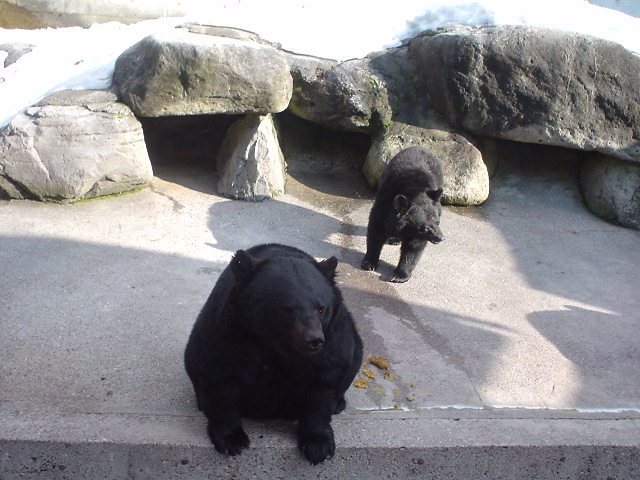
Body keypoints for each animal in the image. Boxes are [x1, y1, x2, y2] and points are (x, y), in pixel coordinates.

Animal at [184, 243, 363, 465]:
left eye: (321, 308)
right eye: (287, 309)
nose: (313, 340)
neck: (276, 345)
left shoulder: (332, 336)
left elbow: (324, 382)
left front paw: (318, 446)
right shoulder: (231, 330)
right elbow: (220, 375)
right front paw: (232, 439)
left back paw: (338, 403)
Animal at [361, 146, 444, 283]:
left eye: (438, 222)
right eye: (425, 228)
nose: (440, 237)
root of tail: (421, 147)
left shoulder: (416, 234)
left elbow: (413, 247)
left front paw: (398, 275)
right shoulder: (383, 206)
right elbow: (376, 232)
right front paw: (369, 263)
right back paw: (394, 239)